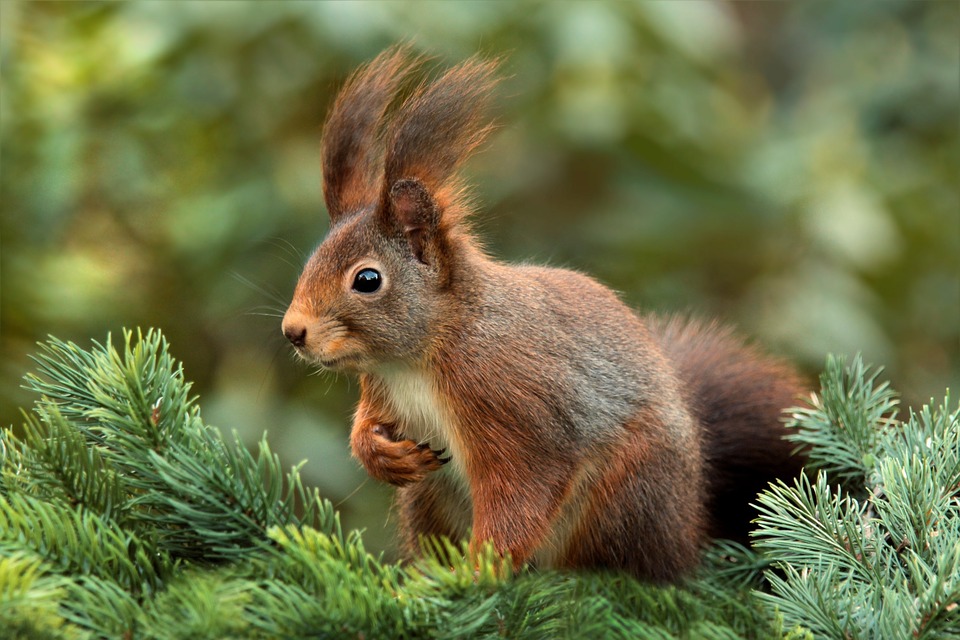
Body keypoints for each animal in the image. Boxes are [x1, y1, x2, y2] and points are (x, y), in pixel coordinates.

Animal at [282, 48, 808, 580]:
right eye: (311, 260)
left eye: (367, 280)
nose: (293, 331)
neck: (419, 356)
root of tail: (689, 525)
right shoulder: (382, 389)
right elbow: (365, 427)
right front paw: (380, 454)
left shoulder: (512, 403)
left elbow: (521, 493)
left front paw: (478, 573)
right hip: (428, 499)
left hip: (626, 491)